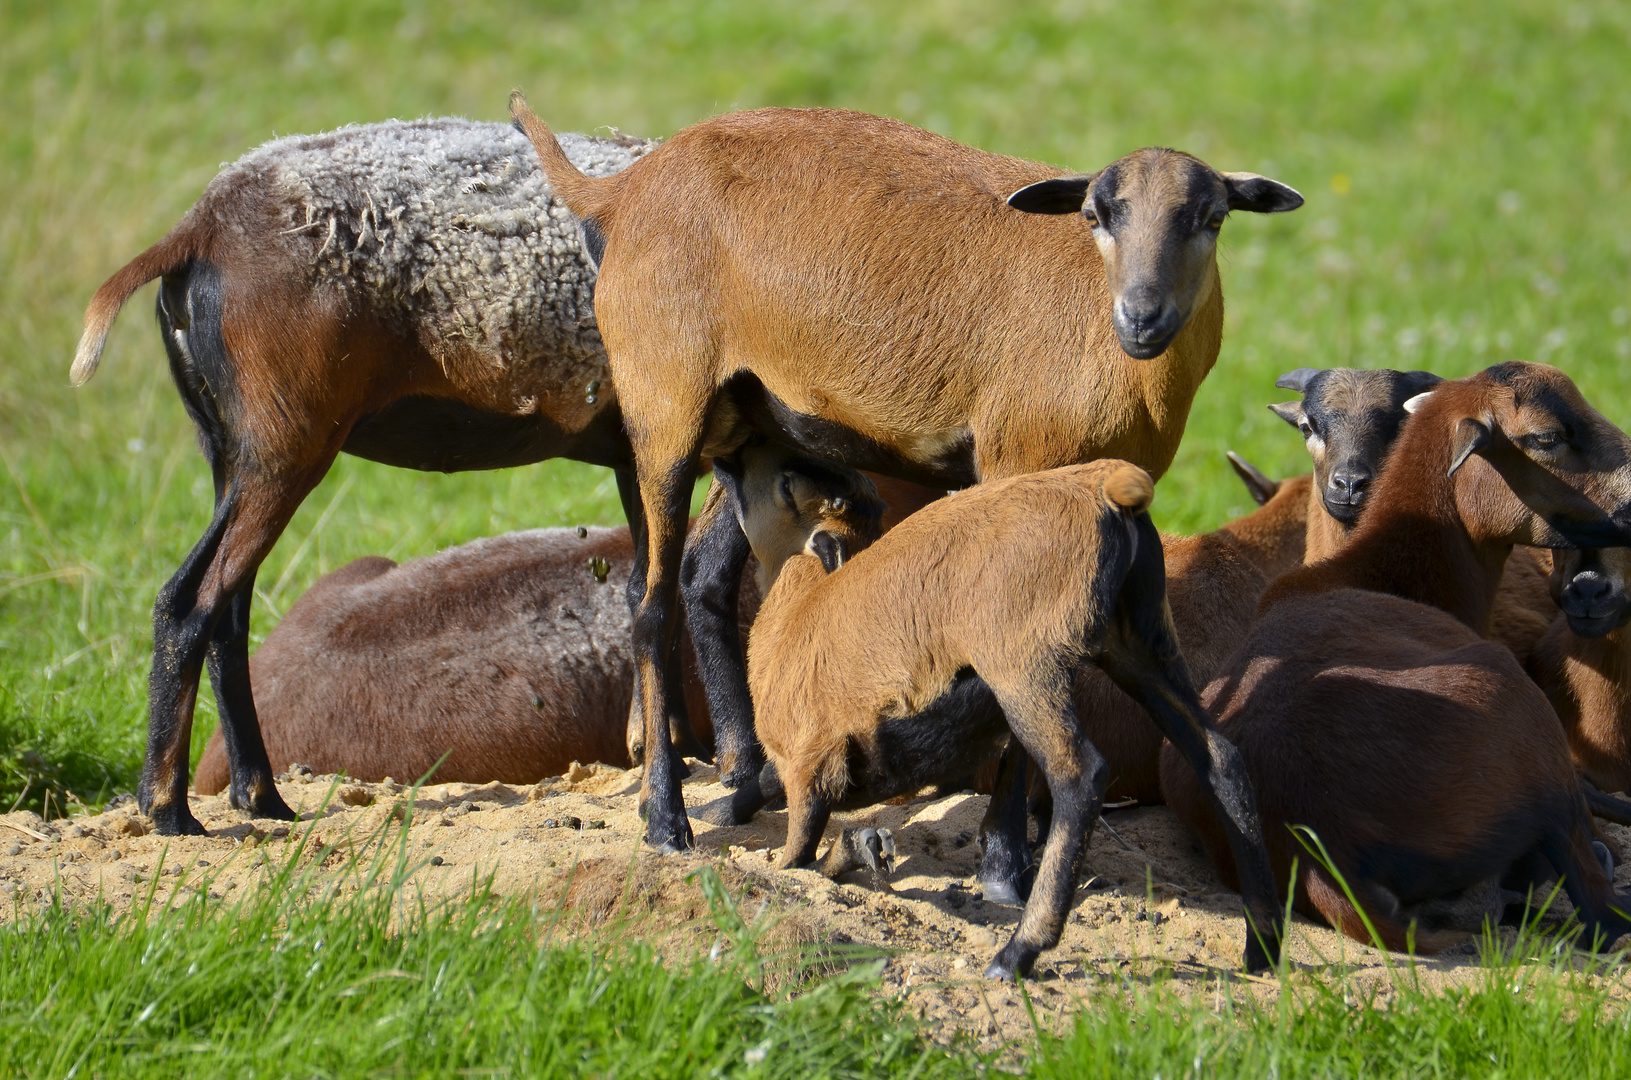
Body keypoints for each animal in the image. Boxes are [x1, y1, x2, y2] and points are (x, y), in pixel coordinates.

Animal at [515, 92, 1304, 854]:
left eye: (1211, 218)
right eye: (1095, 215)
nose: (1142, 317)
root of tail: (619, 191)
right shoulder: (1012, 464)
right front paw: (1005, 850)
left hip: (750, 425)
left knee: (702, 578)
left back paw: (740, 780)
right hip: (664, 404)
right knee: (649, 610)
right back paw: (666, 816)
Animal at [740, 460, 1285, 985]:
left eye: (788, 492)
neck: (792, 617)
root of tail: (1105, 484)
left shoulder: (809, 770)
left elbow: (798, 860)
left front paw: (850, 851)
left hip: (1025, 666)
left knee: (1080, 775)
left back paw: (1018, 952)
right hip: (1141, 646)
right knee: (1220, 760)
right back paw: (1262, 947)